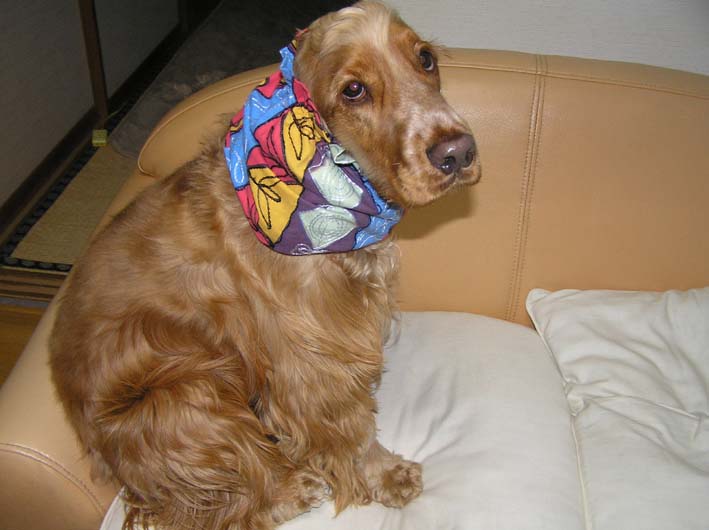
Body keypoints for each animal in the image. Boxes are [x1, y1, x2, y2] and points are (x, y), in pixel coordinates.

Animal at [49, 2, 481, 528]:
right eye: (353, 89)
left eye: (424, 59)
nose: (457, 152)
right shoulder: (315, 362)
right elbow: (352, 429)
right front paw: (385, 474)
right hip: (187, 393)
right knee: (227, 497)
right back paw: (289, 488)